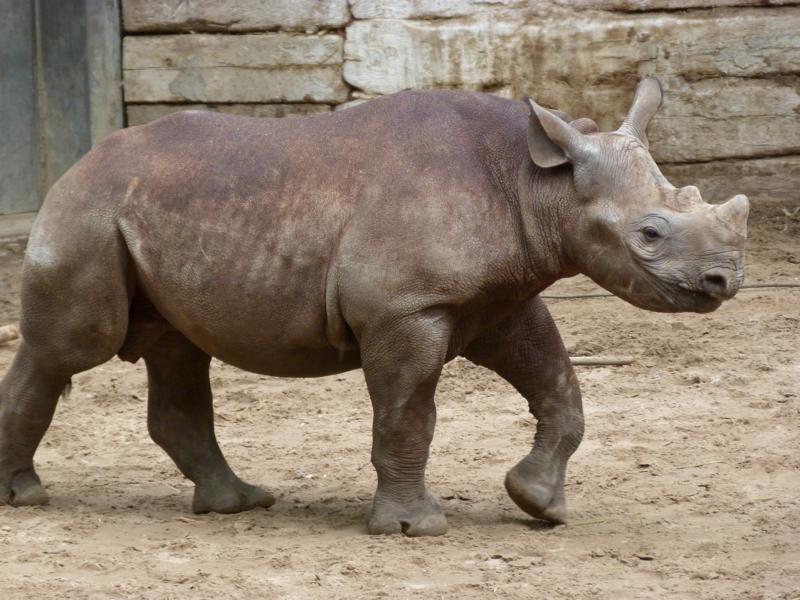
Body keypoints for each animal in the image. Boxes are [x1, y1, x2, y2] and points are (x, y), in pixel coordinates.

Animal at [0, 78, 747, 536]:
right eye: (649, 235)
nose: (725, 280)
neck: (538, 183)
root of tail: (75, 164)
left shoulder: (497, 299)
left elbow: (560, 386)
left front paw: (540, 504)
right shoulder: (405, 307)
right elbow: (409, 412)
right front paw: (415, 528)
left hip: (143, 217)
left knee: (178, 351)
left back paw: (239, 504)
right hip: (89, 214)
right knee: (69, 349)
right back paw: (25, 498)